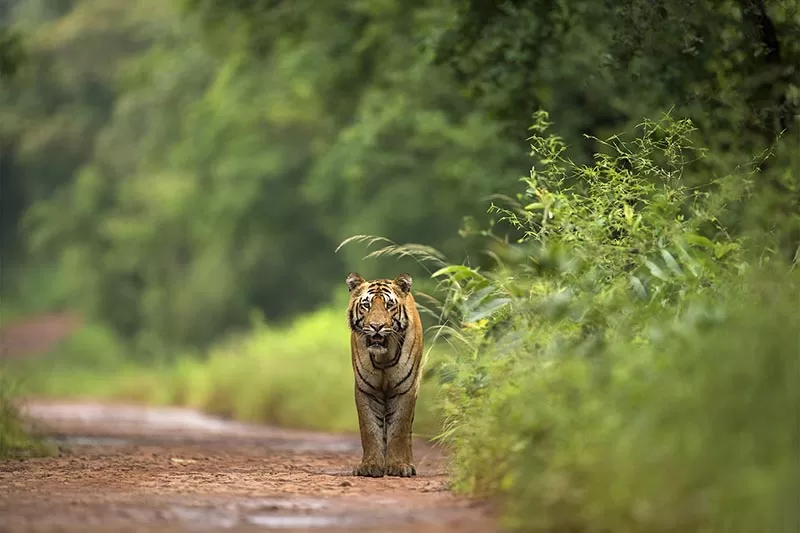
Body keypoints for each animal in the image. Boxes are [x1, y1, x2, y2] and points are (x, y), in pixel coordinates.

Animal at [345, 272, 424, 478]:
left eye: (389, 305)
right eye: (366, 305)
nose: (376, 326)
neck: (383, 357)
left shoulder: (406, 389)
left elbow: (399, 429)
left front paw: (398, 466)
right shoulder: (366, 389)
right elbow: (370, 429)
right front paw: (370, 466)